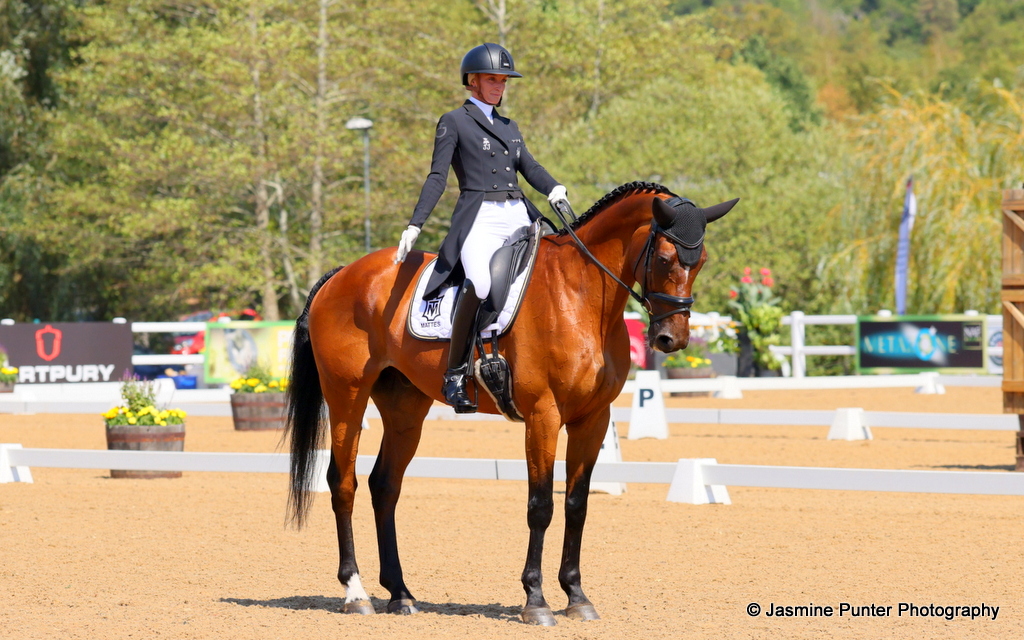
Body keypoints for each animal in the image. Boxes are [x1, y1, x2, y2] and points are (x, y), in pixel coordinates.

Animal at [285, 181, 737, 626]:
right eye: (663, 258)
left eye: (700, 261)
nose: (671, 339)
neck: (581, 294)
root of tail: (343, 274)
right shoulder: (543, 415)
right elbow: (541, 506)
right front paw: (536, 600)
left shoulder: (592, 419)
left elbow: (576, 505)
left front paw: (576, 596)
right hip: (347, 396)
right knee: (343, 482)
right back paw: (355, 592)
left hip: (405, 409)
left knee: (384, 485)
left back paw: (401, 594)